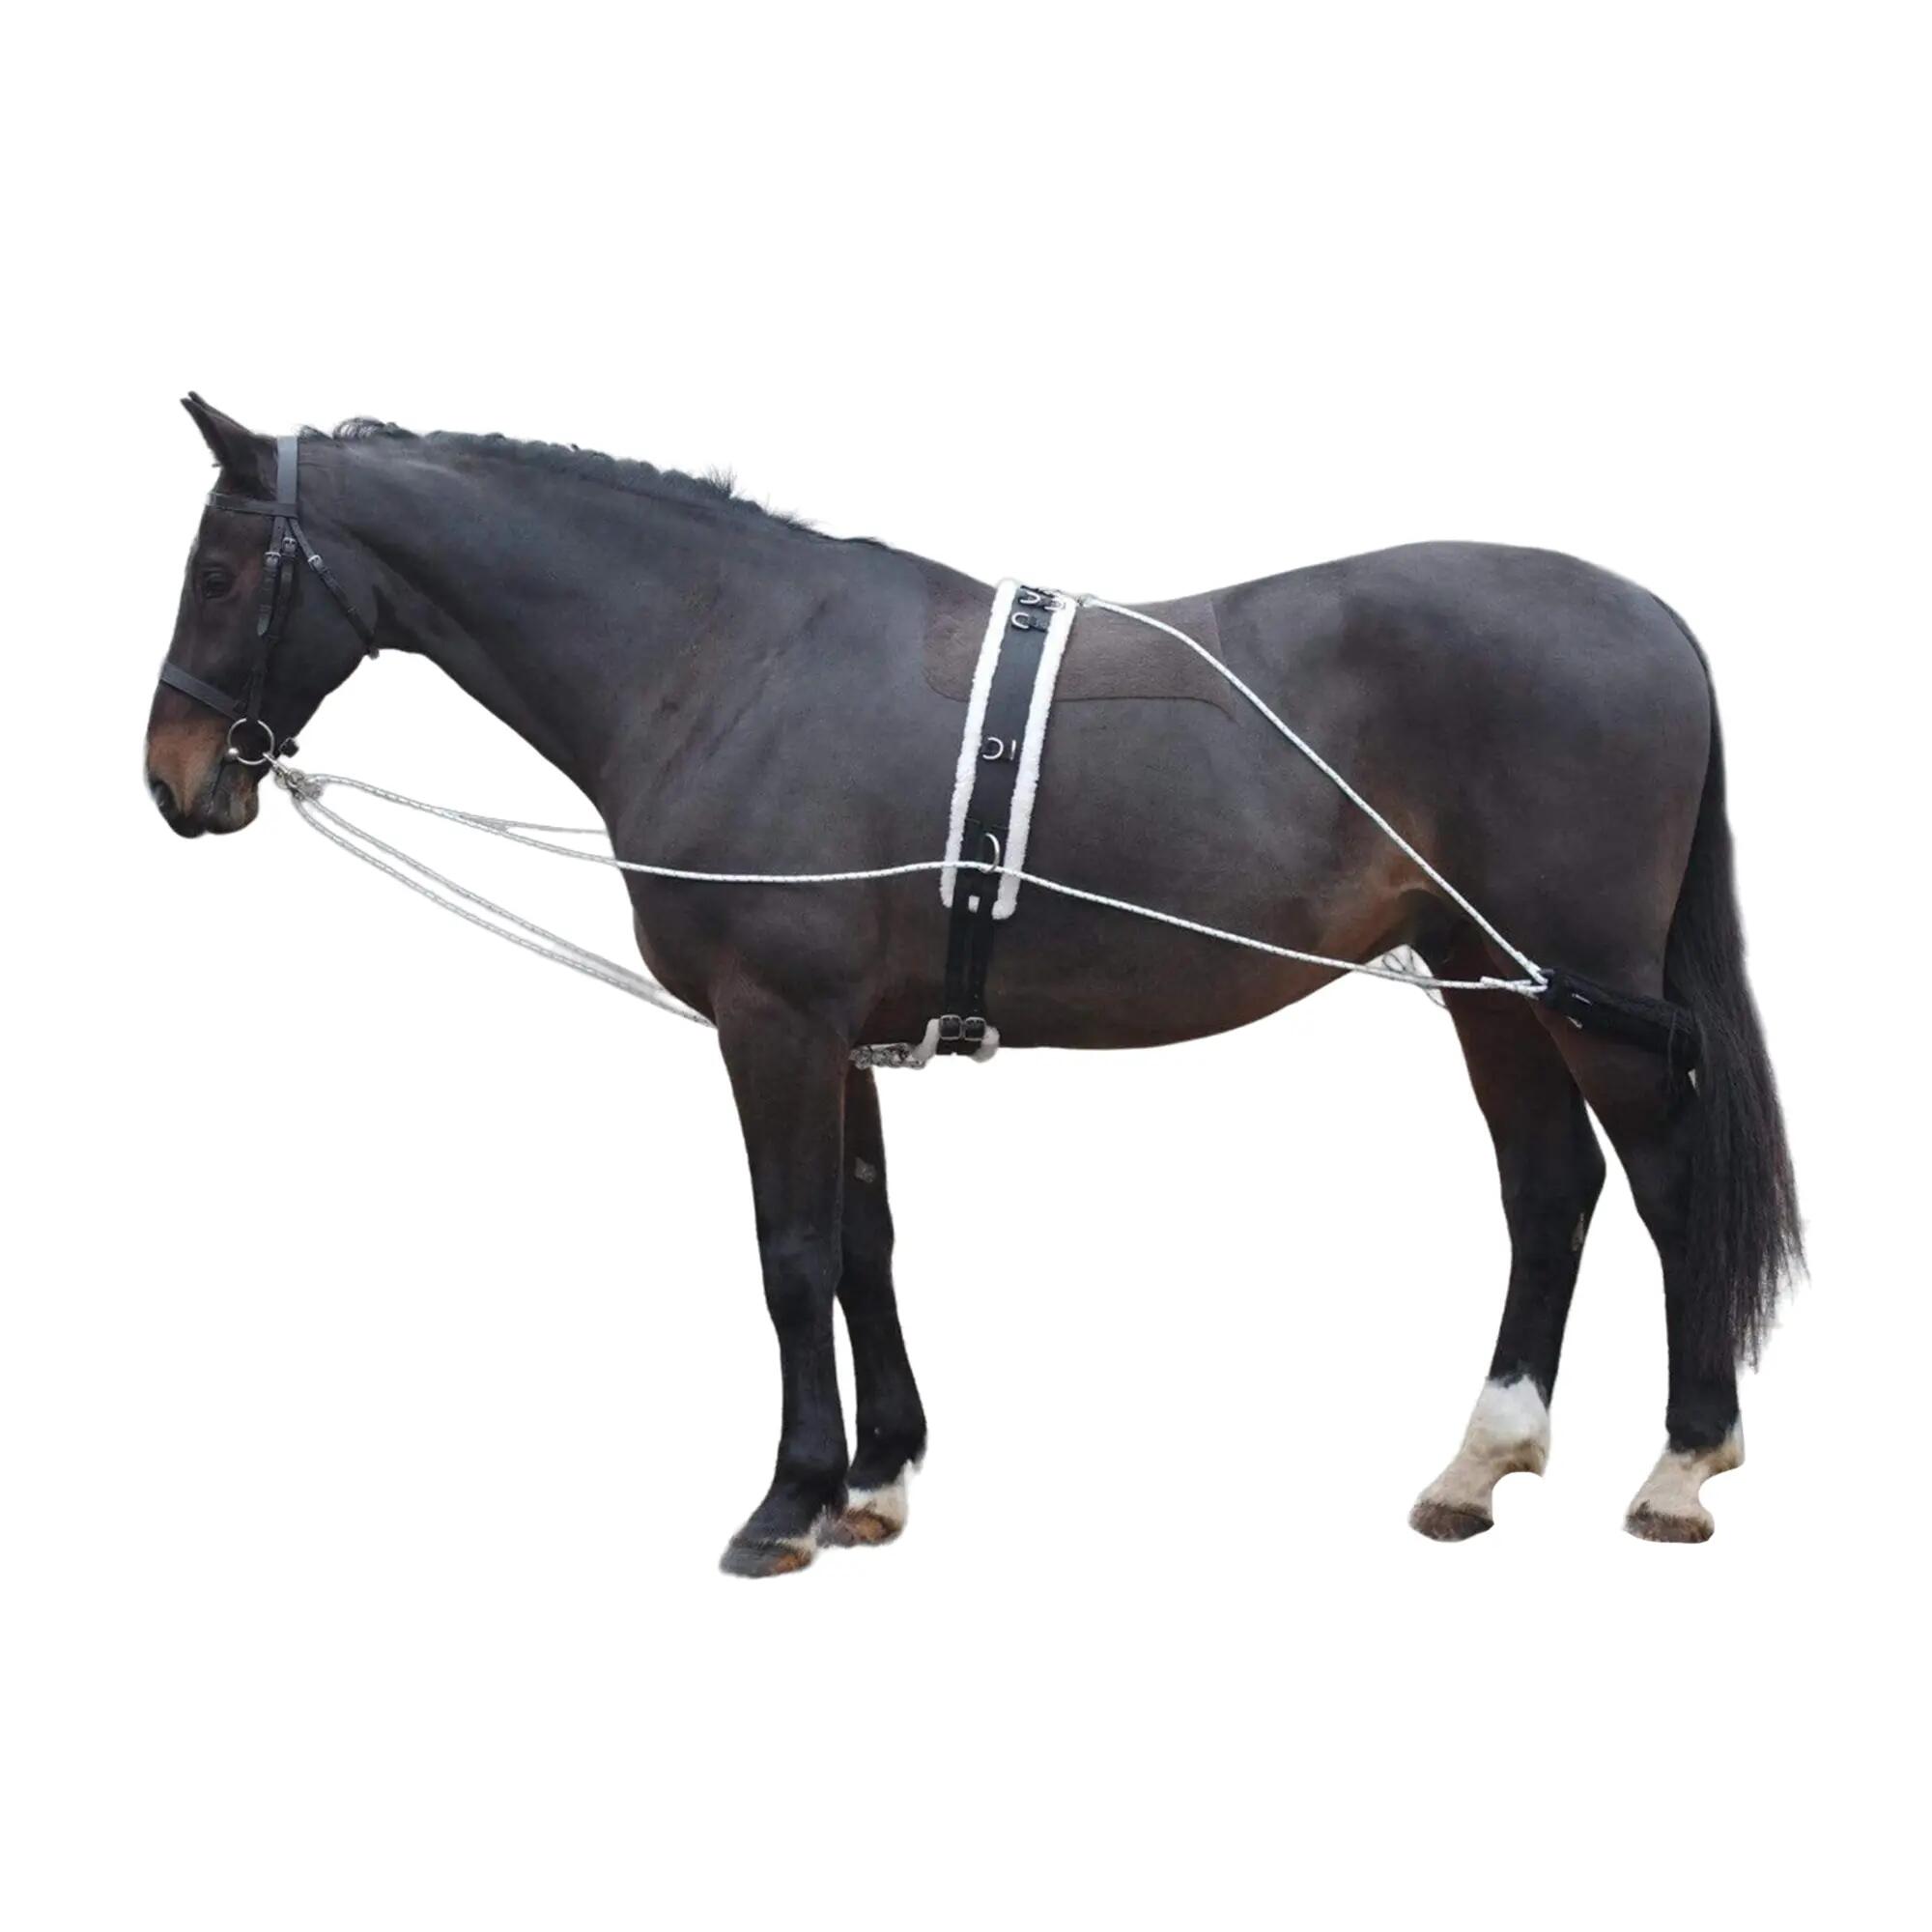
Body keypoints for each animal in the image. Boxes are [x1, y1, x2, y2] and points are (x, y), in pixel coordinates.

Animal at [146, 396, 1801, 1574]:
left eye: (221, 570)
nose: (174, 779)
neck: (730, 660)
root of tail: (1659, 622)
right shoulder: (845, 1043)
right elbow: (868, 1243)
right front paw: (876, 1480)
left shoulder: (772, 1027)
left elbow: (792, 1252)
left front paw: (788, 1499)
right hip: (1486, 978)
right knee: (1550, 1188)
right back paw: (1481, 1461)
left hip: (1577, 983)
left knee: (1666, 1184)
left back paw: (1683, 1461)